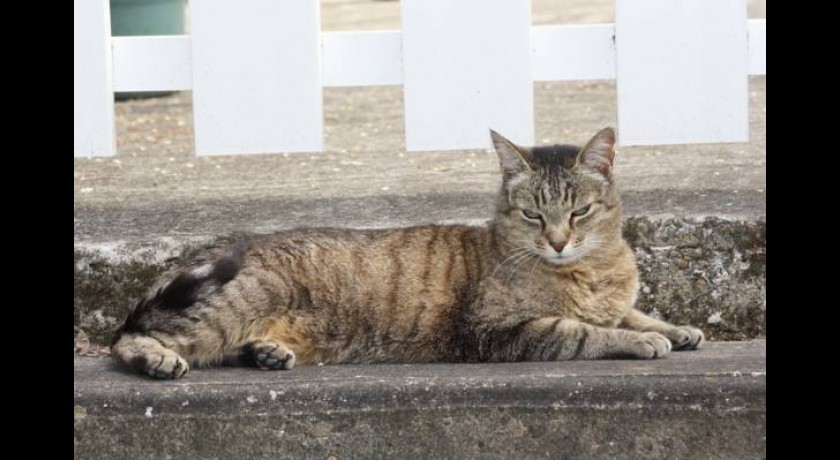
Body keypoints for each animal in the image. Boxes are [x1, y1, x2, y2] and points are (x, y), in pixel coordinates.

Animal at [110, 127, 704, 380]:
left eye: (578, 212)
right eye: (533, 215)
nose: (557, 241)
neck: (591, 270)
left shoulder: (609, 298)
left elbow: (631, 311)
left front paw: (676, 328)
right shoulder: (498, 332)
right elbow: (585, 331)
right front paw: (642, 341)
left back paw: (265, 353)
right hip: (230, 306)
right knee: (128, 341)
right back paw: (158, 359)